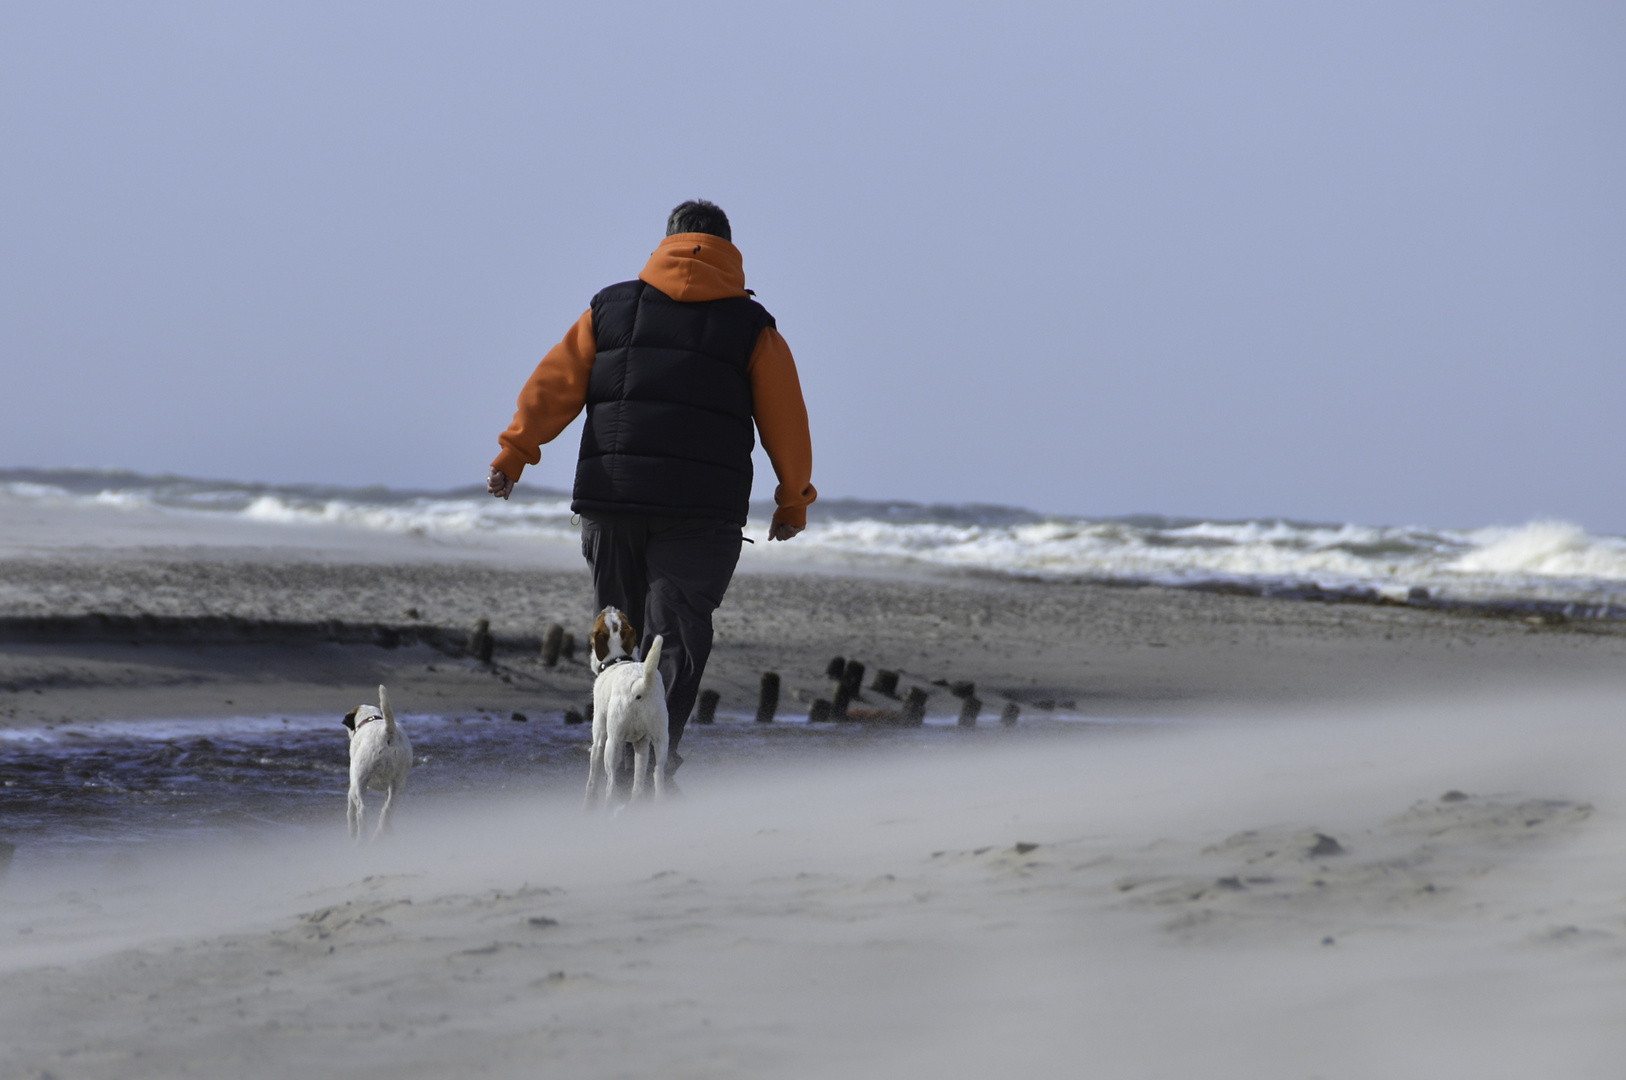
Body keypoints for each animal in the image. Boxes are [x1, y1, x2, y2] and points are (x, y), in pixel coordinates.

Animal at [338, 683, 409, 845]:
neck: (371, 719)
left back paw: (361, 839)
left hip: (359, 782)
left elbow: (350, 813)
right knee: (387, 810)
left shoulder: (352, 787)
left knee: (362, 810)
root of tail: (387, 731)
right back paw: (381, 834)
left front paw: (352, 833)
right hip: (398, 784)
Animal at [585, 608, 666, 810]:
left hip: (612, 743)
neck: (616, 660)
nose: (610, 607)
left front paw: (587, 807)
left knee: (611, 783)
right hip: (661, 740)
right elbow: (638, 779)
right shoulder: (642, 744)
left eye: (600, 618)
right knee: (657, 773)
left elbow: (592, 781)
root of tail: (640, 684)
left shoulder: (599, 741)